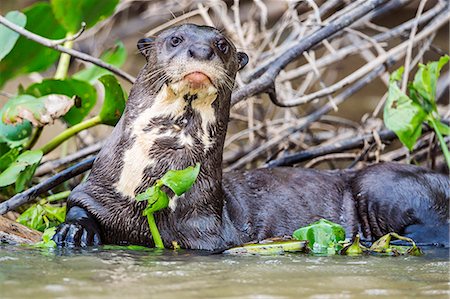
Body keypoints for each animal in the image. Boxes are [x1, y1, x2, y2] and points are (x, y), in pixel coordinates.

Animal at [53, 24, 450, 251]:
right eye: (175, 39)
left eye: (223, 45)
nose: (201, 51)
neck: (147, 191)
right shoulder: (96, 191)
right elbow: (78, 207)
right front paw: (73, 234)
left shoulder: (203, 234)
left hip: (385, 183)